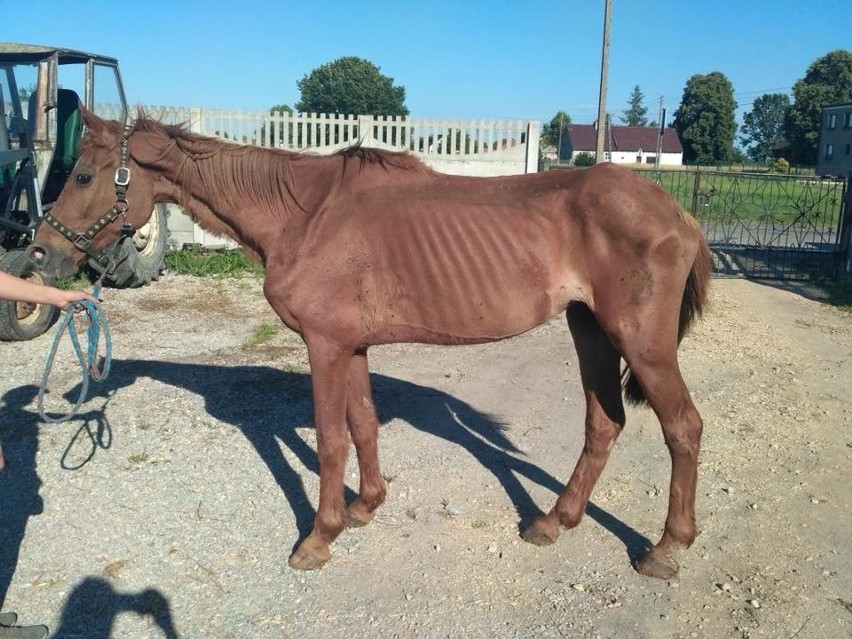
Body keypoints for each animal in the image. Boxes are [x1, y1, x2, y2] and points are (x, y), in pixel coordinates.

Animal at [30, 110, 712, 580]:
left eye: (83, 174)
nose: (40, 254)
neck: (304, 214)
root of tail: (676, 212)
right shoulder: (350, 347)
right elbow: (362, 423)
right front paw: (366, 507)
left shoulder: (325, 346)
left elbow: (332, 440)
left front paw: (319, 537)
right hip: (589, 329)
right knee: (604, 423)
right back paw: (554, 521)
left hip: (642, 343)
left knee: (683, 426)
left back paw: (665, 549)